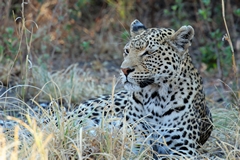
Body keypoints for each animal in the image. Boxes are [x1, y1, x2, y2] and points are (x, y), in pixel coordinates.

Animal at [0, 19, 214, 158]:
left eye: (148, 53)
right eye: (127, 51)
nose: (124, 69)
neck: (155, 97)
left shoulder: (183, 150)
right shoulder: (134, 140)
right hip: (80, 115)